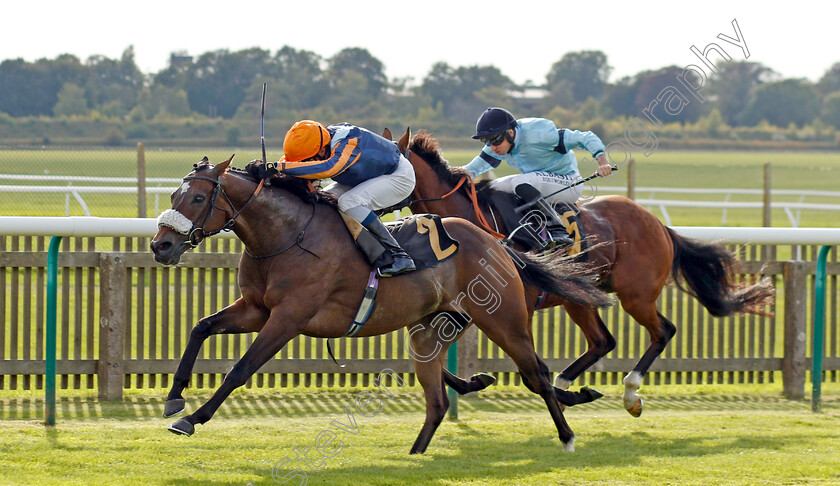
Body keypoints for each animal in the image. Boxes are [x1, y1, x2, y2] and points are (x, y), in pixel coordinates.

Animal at [149, 155, 612, 452]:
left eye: (196, 199)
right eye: (173, 196)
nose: (161, 246)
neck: (287, 235)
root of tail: (497, 243)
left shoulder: (288, 317)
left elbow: (240, 369)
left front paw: (191, 419)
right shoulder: (256, 309)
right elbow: (201, 327)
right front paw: (174, 397)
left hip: (504, 319)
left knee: (538, 373)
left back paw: (567, 435)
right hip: (434, 325)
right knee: (438, 393)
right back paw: (424, 443)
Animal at [398, 130, 776, 418]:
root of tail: (657, 223)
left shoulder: (515, 307)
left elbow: (529, 371)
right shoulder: (462, 308)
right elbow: (427, 355)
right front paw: (478, 382)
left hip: (635, 295)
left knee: (662, 330)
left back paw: (630, 393)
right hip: (578, 297)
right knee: (603, 341)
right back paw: (569, 385)